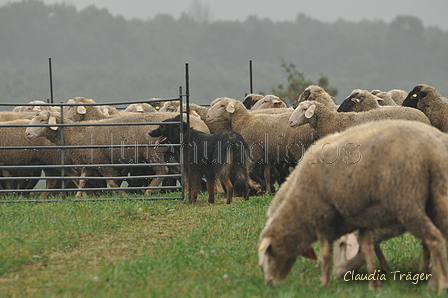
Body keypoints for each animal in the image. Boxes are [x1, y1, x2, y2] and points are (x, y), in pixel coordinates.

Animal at [260, 118, 448, 292]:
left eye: (268, 255)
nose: (269, 283)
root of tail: (431, 150)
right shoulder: (363, 218)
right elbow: (368, 247)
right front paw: (376, 281)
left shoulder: (322, 218)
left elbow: (326, 253)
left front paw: (325, 284)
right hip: (437, 197)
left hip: (405, 199)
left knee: (434, 238)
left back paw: (438, 285)